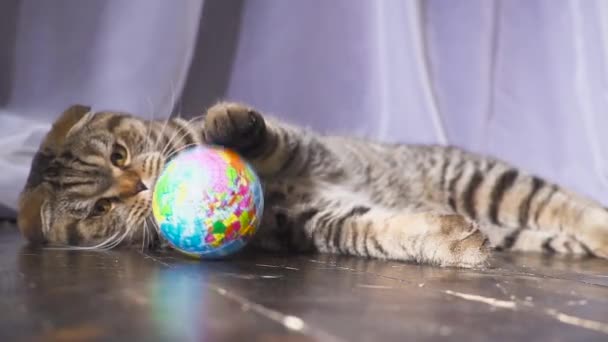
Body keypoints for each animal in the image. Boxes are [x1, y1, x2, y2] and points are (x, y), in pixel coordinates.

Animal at [16, 101, 608, 268]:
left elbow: (263, 134)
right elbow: (382, 230)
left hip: (486, 182)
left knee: (574, 205)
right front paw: (448, 242)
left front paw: (226, 122)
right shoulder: (310, 223)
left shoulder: (300, 144)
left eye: (119, 154)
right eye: (98, 211)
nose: (139, 185)